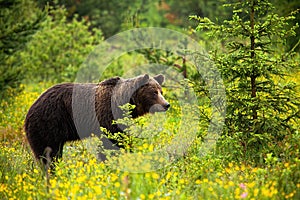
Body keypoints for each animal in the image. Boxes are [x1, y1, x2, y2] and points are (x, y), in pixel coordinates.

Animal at [24, 74, 170, 166]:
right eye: (154, 92)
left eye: (161, 91)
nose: (166, 104)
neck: (124, 102)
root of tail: (31, 108)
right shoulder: (107, 115)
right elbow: (110, 142)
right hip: (48, 124)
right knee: (47, 154)